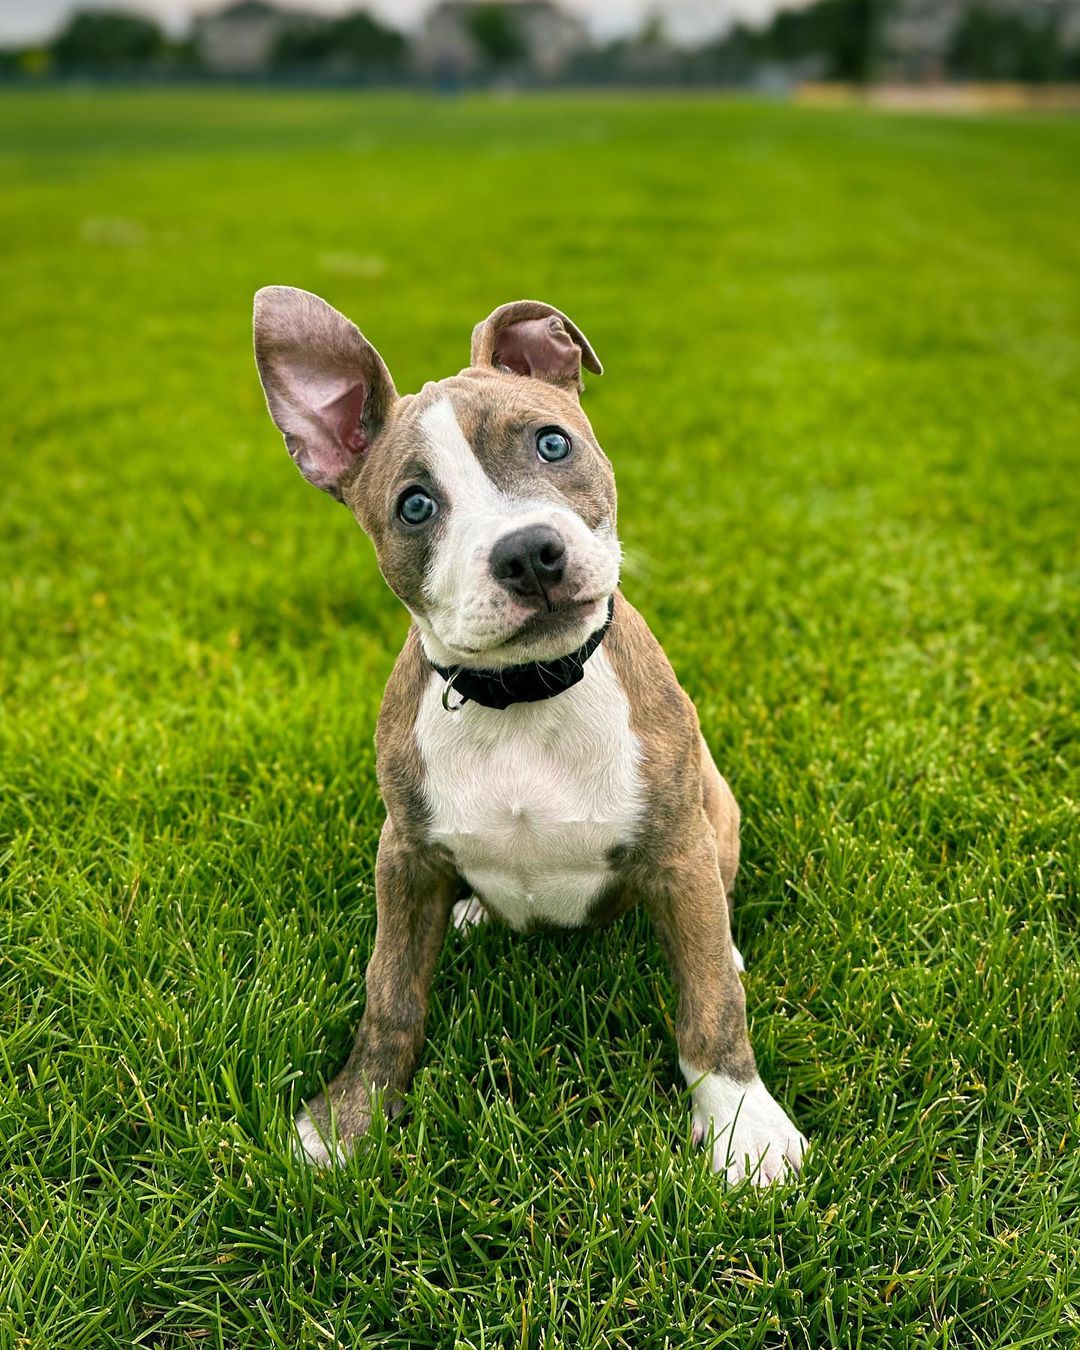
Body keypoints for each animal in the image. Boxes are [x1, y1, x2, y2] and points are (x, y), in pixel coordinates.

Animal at [253, 290, 804, 1188]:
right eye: (414, 506)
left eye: (553, 443)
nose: (529, 553)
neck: (523, 695)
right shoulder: (404, 857)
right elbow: (390, 995)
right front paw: (349, 1120)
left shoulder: (677, 846)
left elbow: (709, 1007)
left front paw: (744, 1125)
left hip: (714, 812)